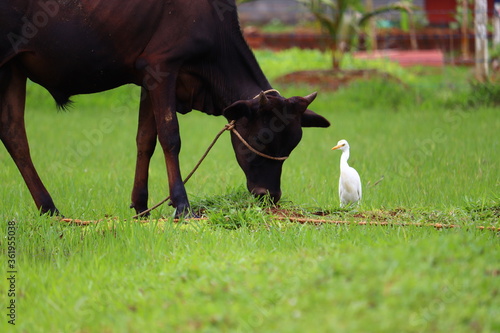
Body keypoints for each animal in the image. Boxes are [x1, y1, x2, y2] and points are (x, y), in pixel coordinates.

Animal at [0, 0, 330, 217]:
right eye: (262, 138)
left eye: (292, 145)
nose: (269, 196)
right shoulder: (163, 65)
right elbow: (170, 136)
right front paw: (181, 205)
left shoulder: (148, 77)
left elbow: (145, 139)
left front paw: (141, 207)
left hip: (14, 68)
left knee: (14, 134)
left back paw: (48, 208)